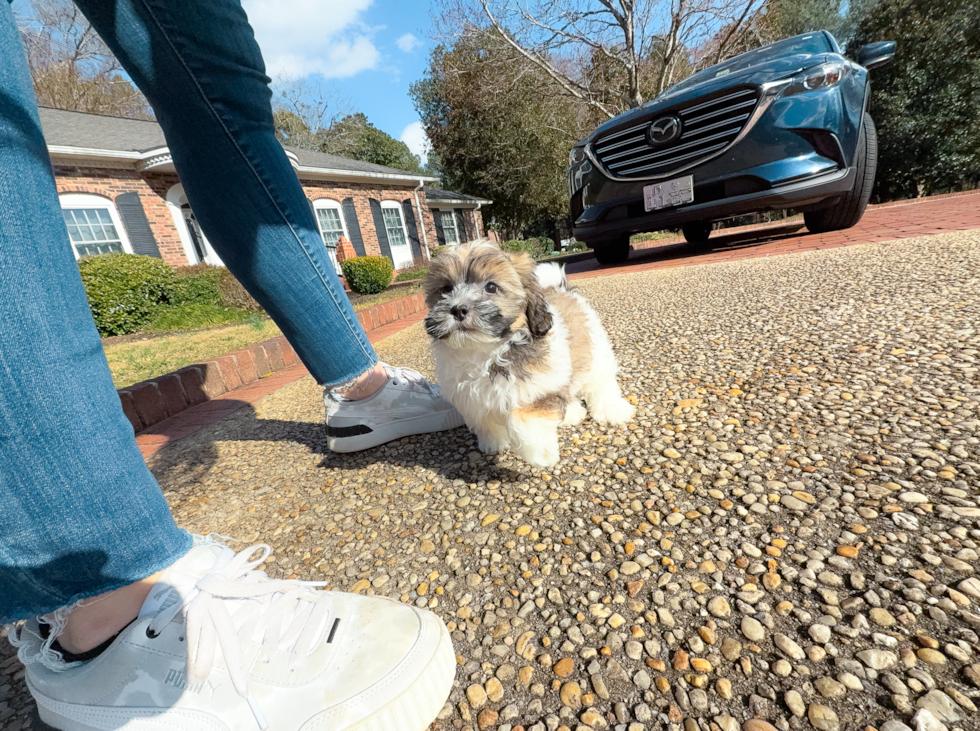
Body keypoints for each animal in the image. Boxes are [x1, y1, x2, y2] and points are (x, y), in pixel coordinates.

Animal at [424, 242, 636, 468]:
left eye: (491, 287)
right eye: (446, 289)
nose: (458, 309)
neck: (485, 352)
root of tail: (561, 289)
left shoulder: (539, 387)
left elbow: (521, 418)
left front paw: (541, 453)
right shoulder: (471, 398)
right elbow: (484, 421)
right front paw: (493, 443)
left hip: (594, 351)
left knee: (599, 383)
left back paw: (612, 410)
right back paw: (572, 412)